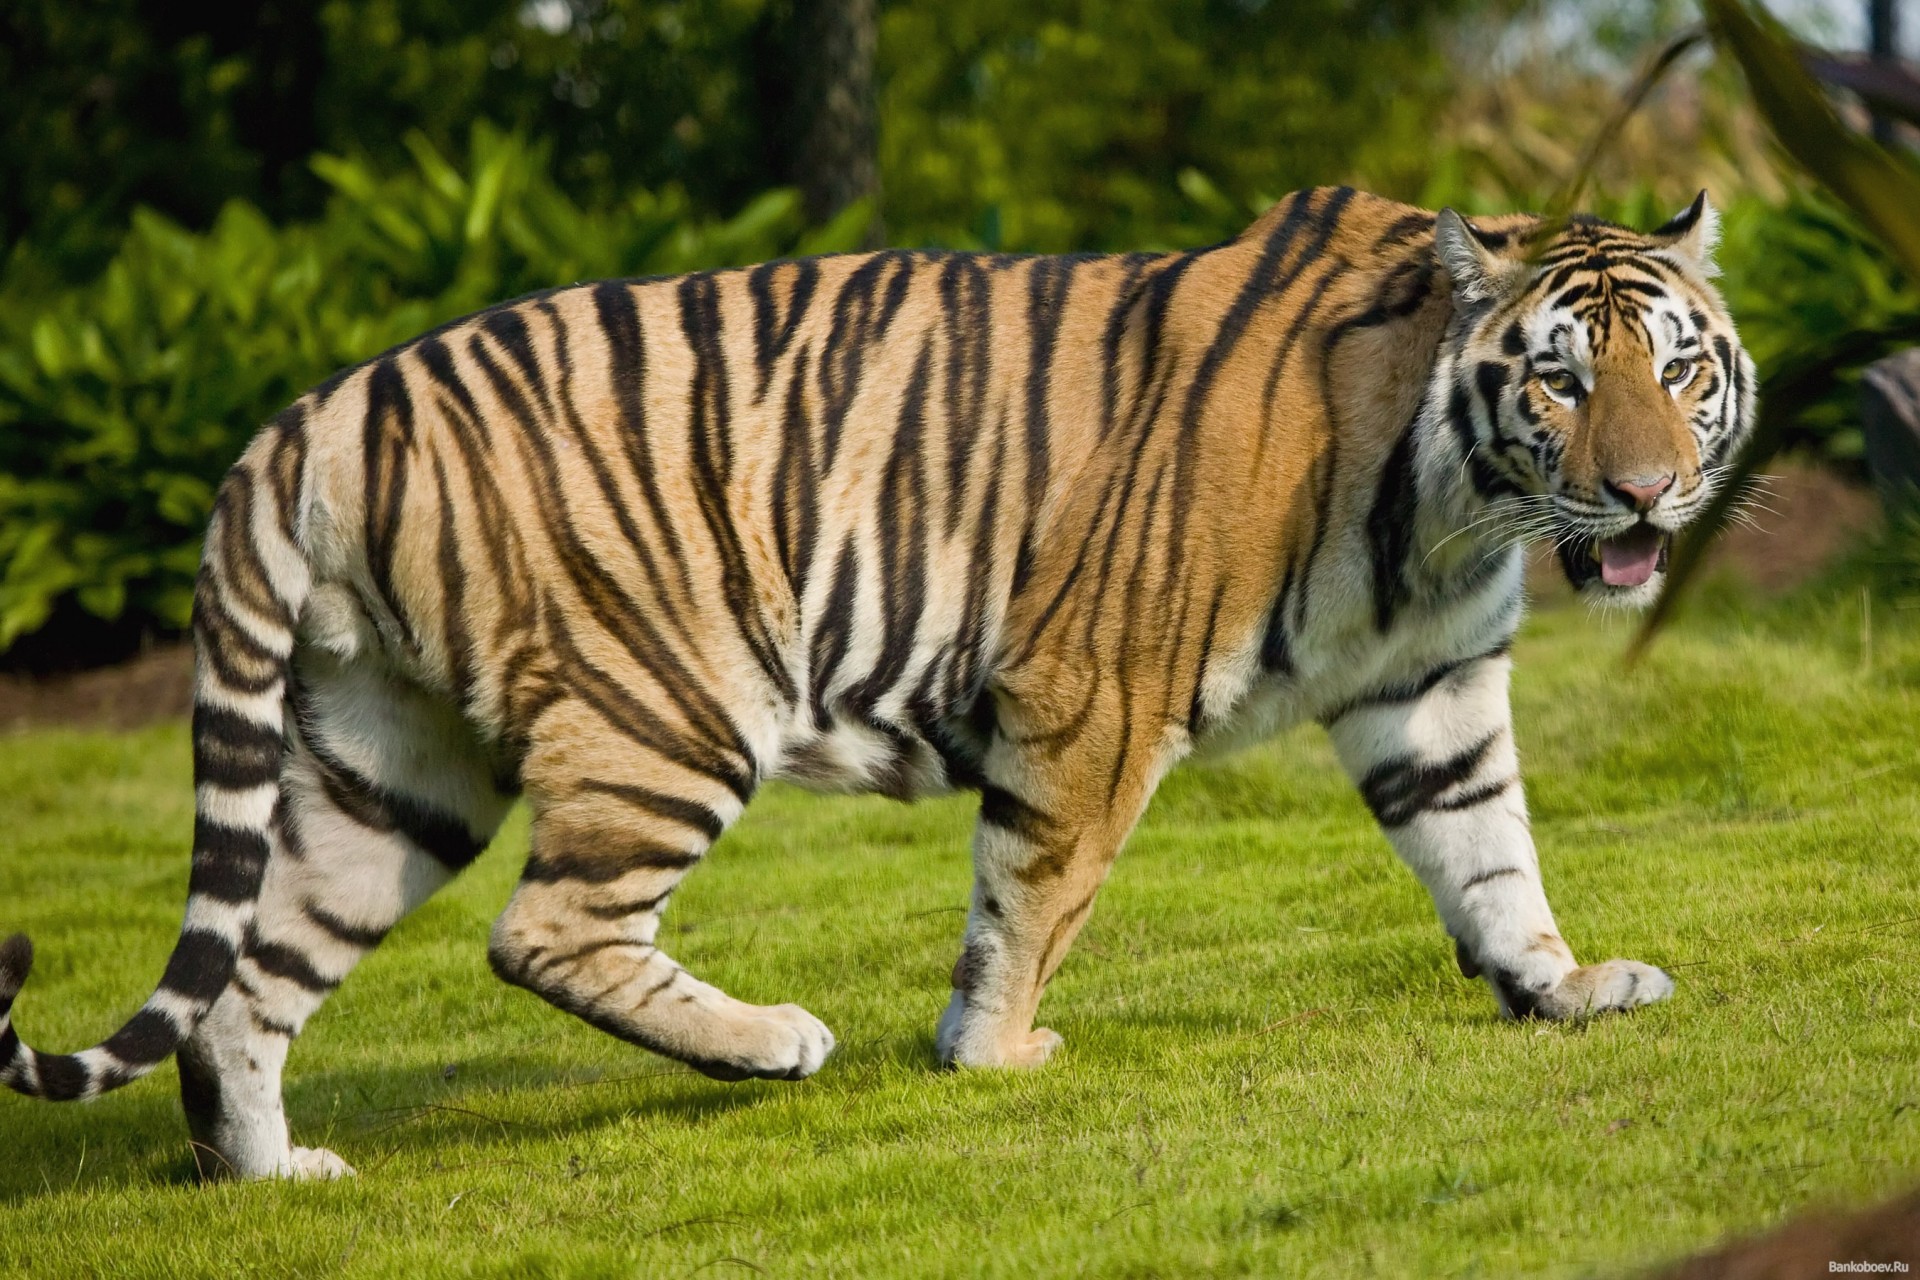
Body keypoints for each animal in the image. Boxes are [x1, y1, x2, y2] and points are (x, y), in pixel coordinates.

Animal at [0, 186, 1753, 1180]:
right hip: (670, 707)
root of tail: (314, 410)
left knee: (249, 984)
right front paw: (995, 1054)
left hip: (390, 762)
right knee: (542, 928)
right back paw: (772, 1042)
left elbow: (1490, 850)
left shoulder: (1433, 689)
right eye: (1560, 378)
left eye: (1677, 368)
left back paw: (273, 1173)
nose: (1650, 495)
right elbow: (1037, 890)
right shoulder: (1094, 688)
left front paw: (1560, 986)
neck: (1454, 506)